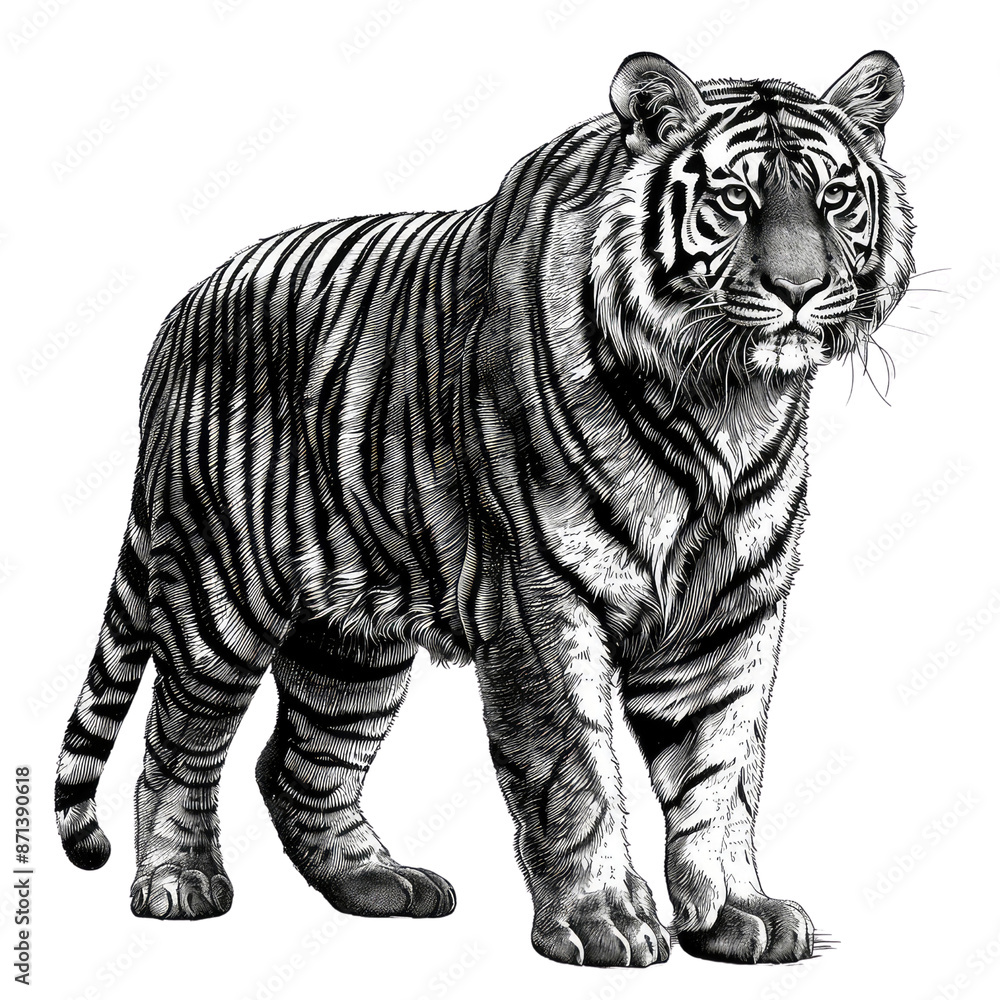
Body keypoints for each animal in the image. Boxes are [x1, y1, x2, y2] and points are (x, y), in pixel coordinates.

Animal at [55, 49, 913, 967]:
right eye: (734, 199)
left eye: (835, 197)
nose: (801, 288)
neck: (724, 402)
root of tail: (181, 313)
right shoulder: (539, 598)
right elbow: (573, 768)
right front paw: (602, 920)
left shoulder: (730, 614)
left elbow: (720, 772)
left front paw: (735, 913)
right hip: (217, 595)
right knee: (177, 743)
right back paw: (179, 884)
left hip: (351, 640)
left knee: (297, 761)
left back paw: (378, 884)